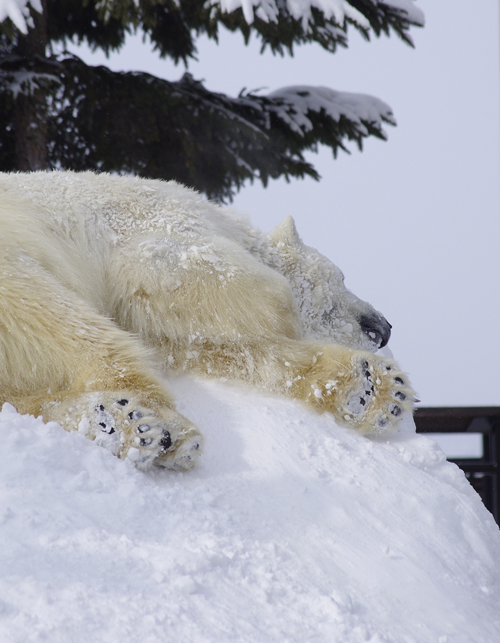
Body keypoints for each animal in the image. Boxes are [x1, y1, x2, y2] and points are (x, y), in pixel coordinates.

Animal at [0, 171, 414, 470]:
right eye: (341, 279)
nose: (382, 328)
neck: (230, 225)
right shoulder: (159, 222)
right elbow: (173, 266)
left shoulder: (157, 322)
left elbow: (217, 350)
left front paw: (371, 389)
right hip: (13, 267)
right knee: (62, 320)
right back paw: (149, 427)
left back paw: (112, 423)